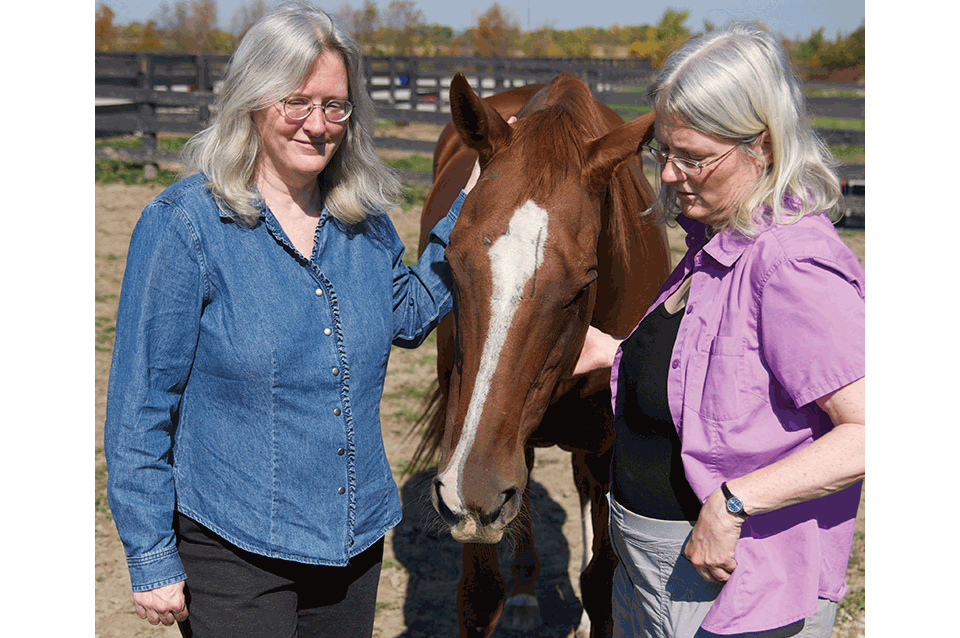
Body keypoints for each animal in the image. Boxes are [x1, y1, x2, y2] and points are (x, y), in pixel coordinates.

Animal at [416, 75, 672, 638]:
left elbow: (602, 587)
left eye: (582, 285)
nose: (472, 492)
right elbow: (479, 595)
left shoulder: (606, 455)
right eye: (451, 263)